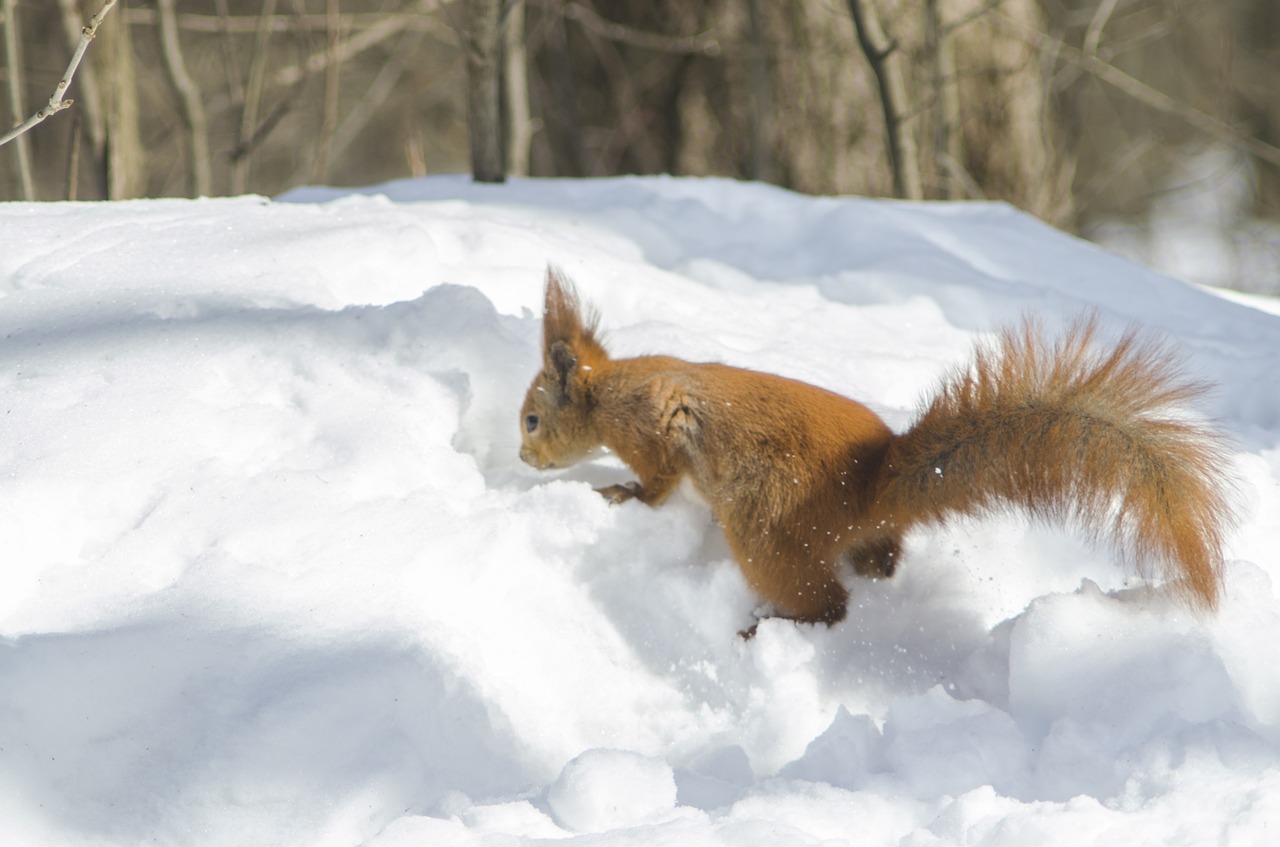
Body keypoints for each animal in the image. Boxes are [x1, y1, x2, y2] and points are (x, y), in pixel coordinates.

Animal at [514, 268, 1233, 626]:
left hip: (763, 526)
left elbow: (658, 480)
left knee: (829, 601)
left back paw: (777, 622)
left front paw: (622, 492)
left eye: (531, 420)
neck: (610, 391)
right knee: (879, 563)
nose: (523, 458)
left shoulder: (653, 424)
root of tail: (868, 485)